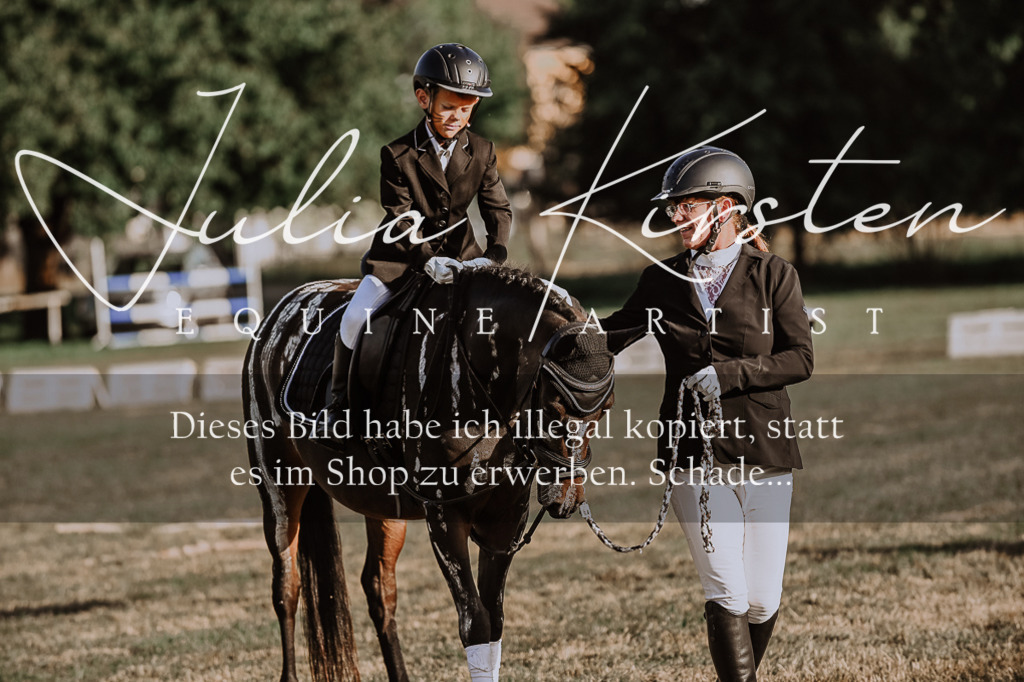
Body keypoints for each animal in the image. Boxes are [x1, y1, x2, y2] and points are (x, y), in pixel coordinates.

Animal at [242, 266, 615, 682]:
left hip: (384, 509)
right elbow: (475, 622)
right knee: (287, 587)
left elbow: (495, 620)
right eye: (552, 407)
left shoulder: (504, 521)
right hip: (279, 488)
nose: (567, 498)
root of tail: (282, 310)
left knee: (379, 590)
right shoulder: (444, 516)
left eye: (605, 410)